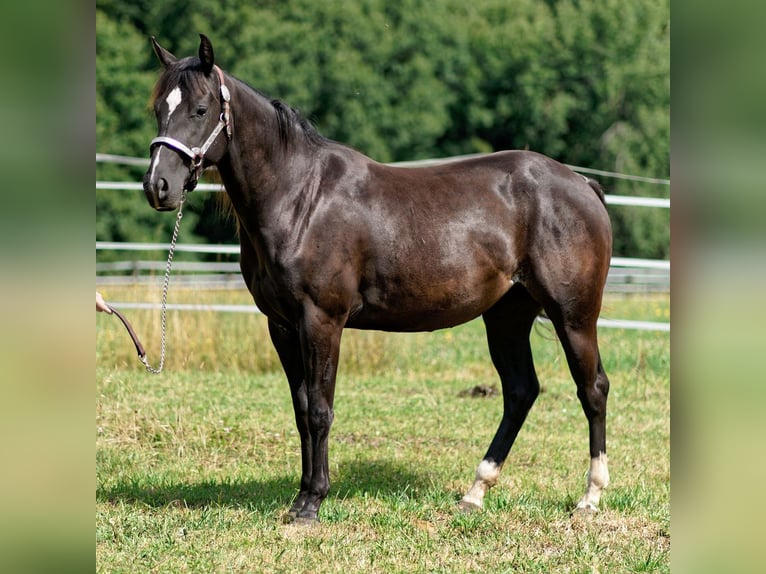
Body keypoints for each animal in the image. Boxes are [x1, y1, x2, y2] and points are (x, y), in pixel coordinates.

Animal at [143, 34, 613, 524]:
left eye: (200, 109)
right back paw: (476, 491)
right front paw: (300, 496)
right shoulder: (283, 326)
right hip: (507, 317)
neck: (301, 197)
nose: (158, 186)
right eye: (158, 108)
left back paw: (590, 497)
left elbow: (321, 410)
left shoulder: (322, 321)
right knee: (521, 391)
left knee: (592, 390)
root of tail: (582, 184)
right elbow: (301, 409)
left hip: (574, 317)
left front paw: (313, 501)